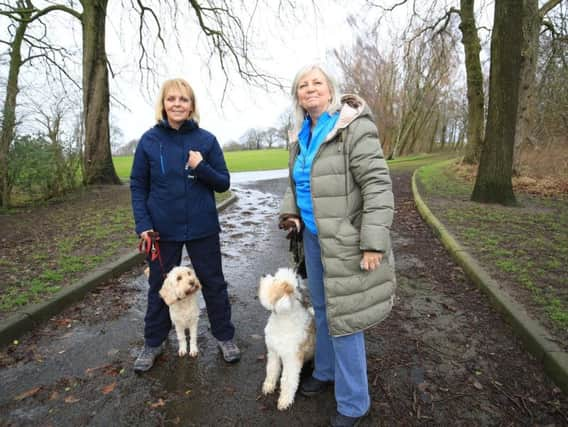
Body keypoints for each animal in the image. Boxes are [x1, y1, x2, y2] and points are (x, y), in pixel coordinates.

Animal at [258, 268, 316, 412]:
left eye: (274, 280)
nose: (263, 275)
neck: (282, 319)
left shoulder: (292, 359)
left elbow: (288, 380)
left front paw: (285, 400)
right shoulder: (273, 352)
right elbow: (272, 369)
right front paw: (269, 385)